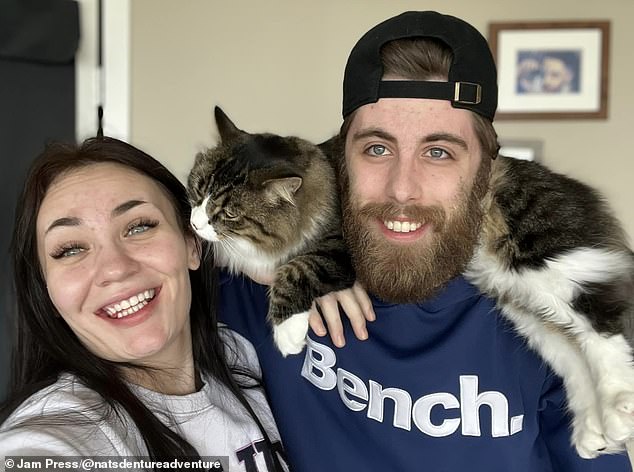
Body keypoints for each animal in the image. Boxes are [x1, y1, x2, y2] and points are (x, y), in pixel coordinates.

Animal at [186, 107, 356, 356]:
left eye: (230, 214)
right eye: (198, 191)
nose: (194, 225)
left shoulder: (342, 245)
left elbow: (301, 267)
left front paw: (288, 331)